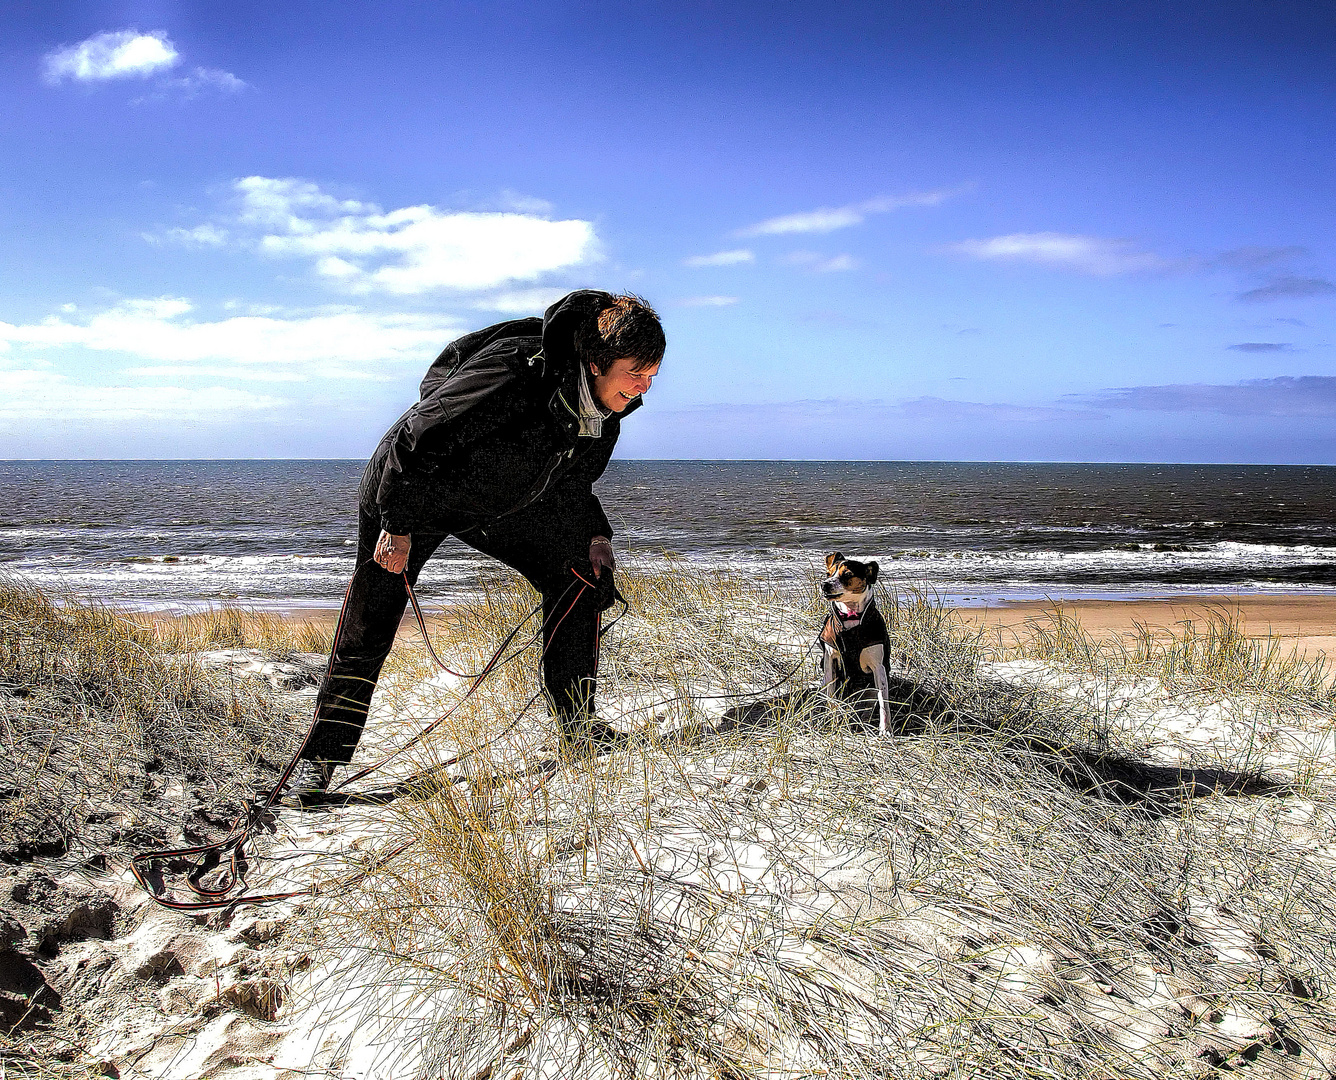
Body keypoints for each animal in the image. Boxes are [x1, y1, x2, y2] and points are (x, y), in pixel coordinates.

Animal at [812, 548, 897, 732]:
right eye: (828, 573)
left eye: (847, 574)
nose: (824, 584)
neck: (850, 617)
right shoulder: (830, 661)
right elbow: (831, 697)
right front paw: (833, 721)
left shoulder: (879, 667)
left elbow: (883, 703)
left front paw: (885, 730)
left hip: (870, 687)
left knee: (870, 705)